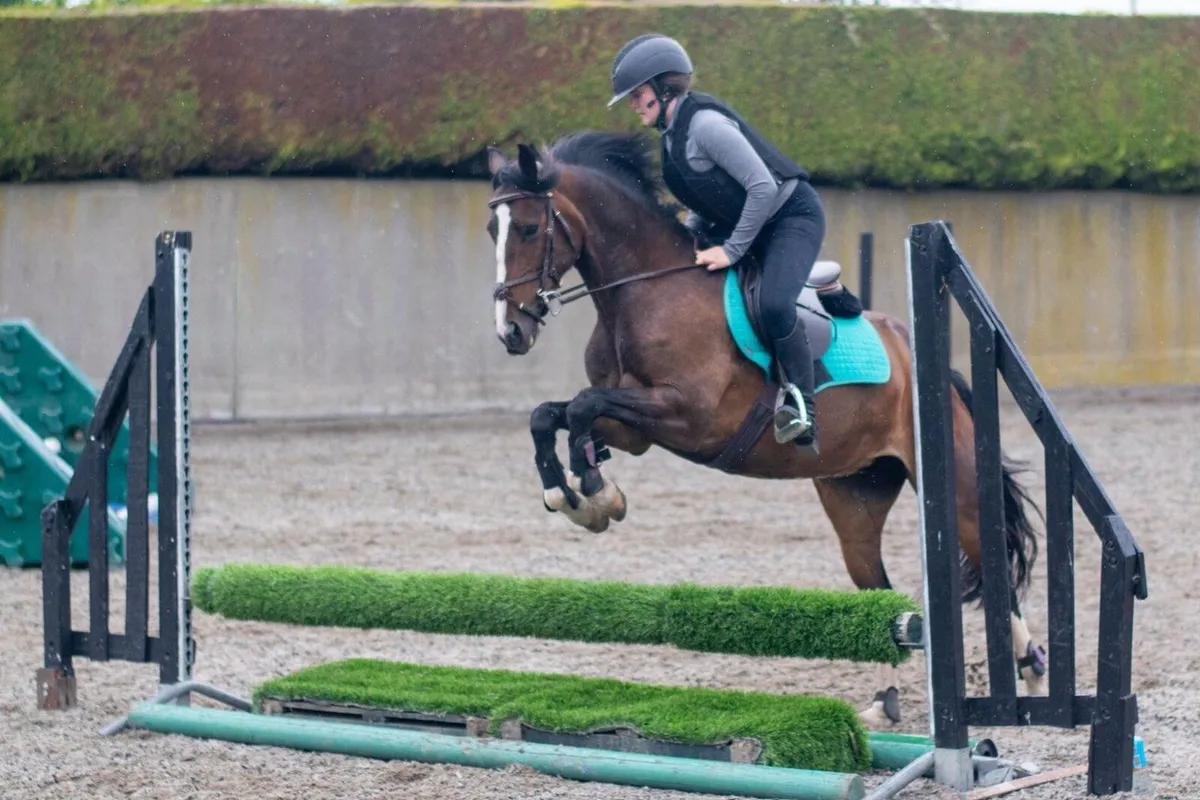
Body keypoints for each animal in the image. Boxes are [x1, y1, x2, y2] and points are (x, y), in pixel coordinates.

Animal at [483, 130, 1046, 728]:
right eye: (492, 230)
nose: (510, 331)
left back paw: (1029, 668)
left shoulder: (687, 415)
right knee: (879, 590)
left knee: (993, 564)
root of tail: (921, 358)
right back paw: (884, 701)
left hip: (955, 485)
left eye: (528, 228)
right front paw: (573, 494)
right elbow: (553, 415)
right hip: (855, 496)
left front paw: (593, 493)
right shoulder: (636, 429)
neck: (645, 292)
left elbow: (582, 409)